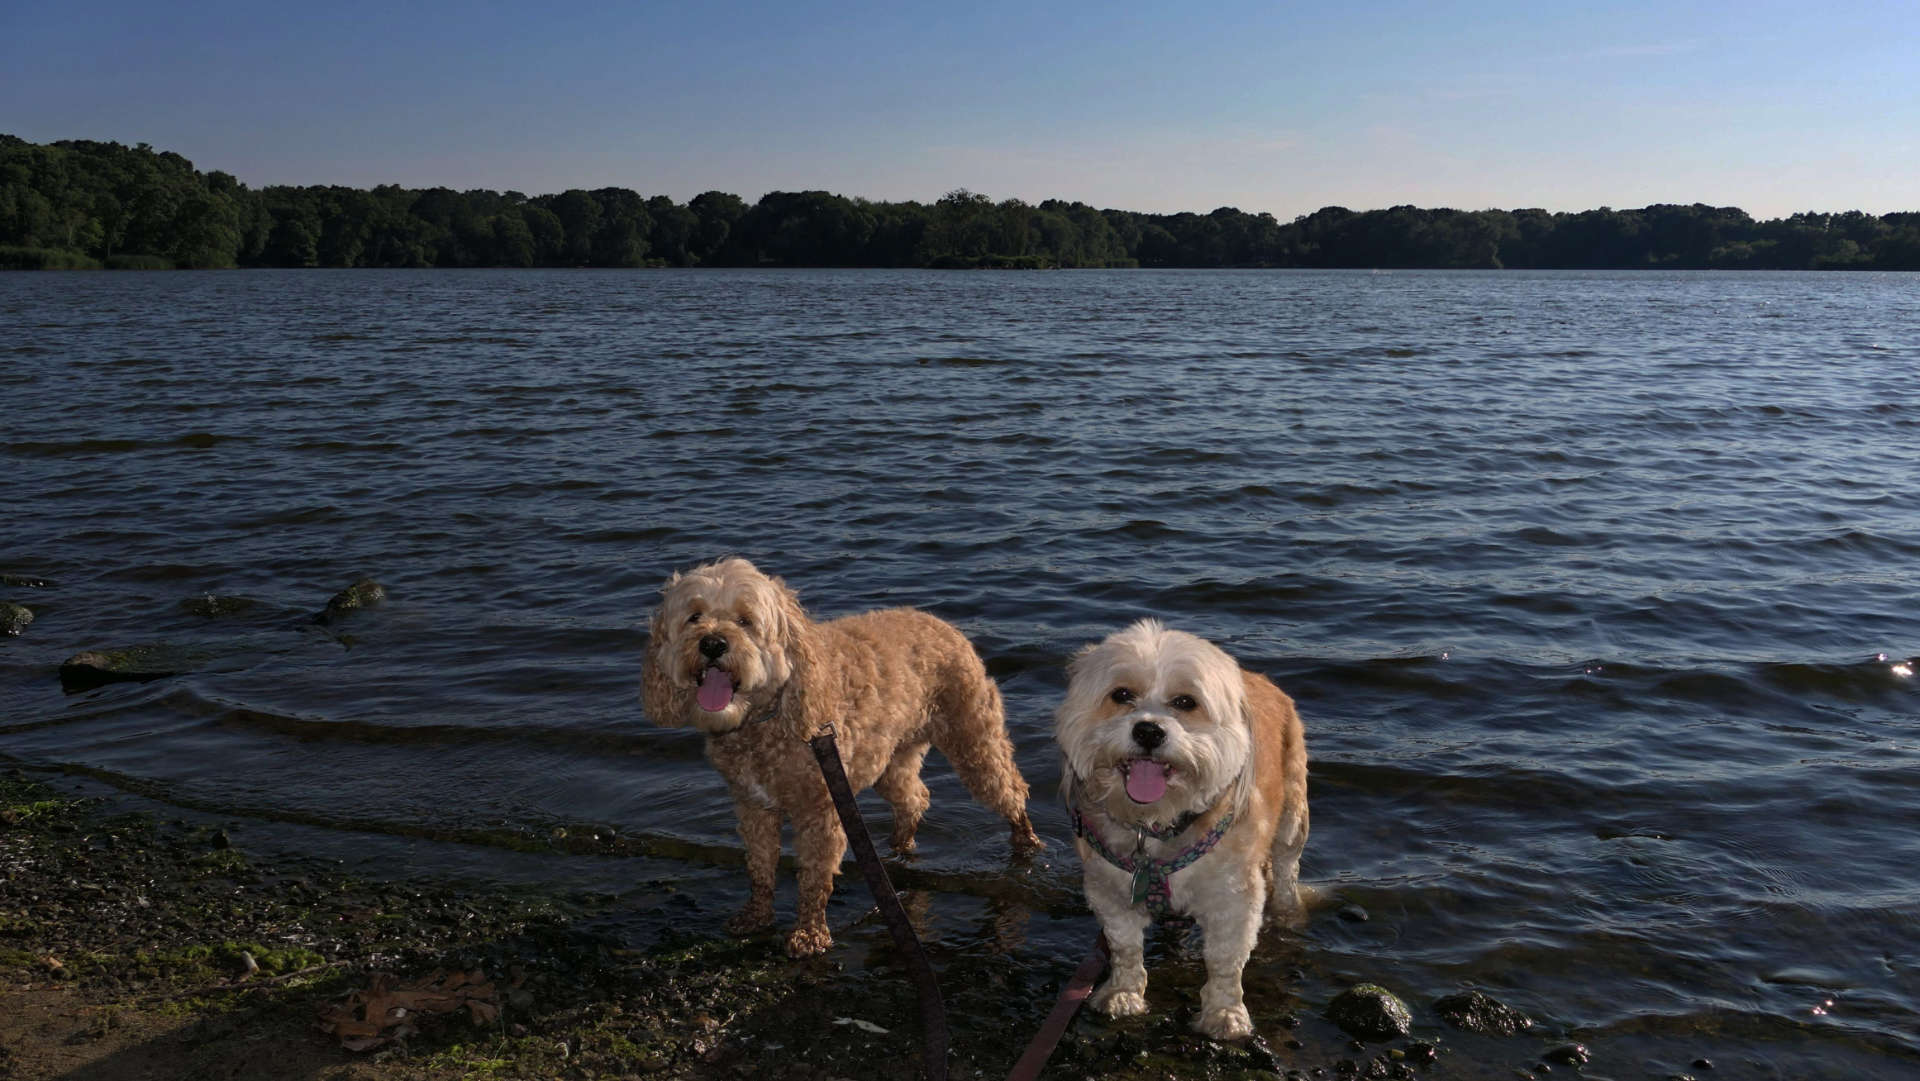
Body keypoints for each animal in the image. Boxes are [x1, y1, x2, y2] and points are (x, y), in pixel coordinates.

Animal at [1052, 625, 1305, 1036]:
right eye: (1121, 694)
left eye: (1186, 702)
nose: (1148, 731)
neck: (1156, 828)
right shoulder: (1109, 891)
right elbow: (1124, 948)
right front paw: (1123, 993)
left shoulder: (1233, 898)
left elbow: (1224, 961)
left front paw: (1224, 1013)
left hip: (1293, 819)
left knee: (1286, 870)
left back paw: (1287, 910)